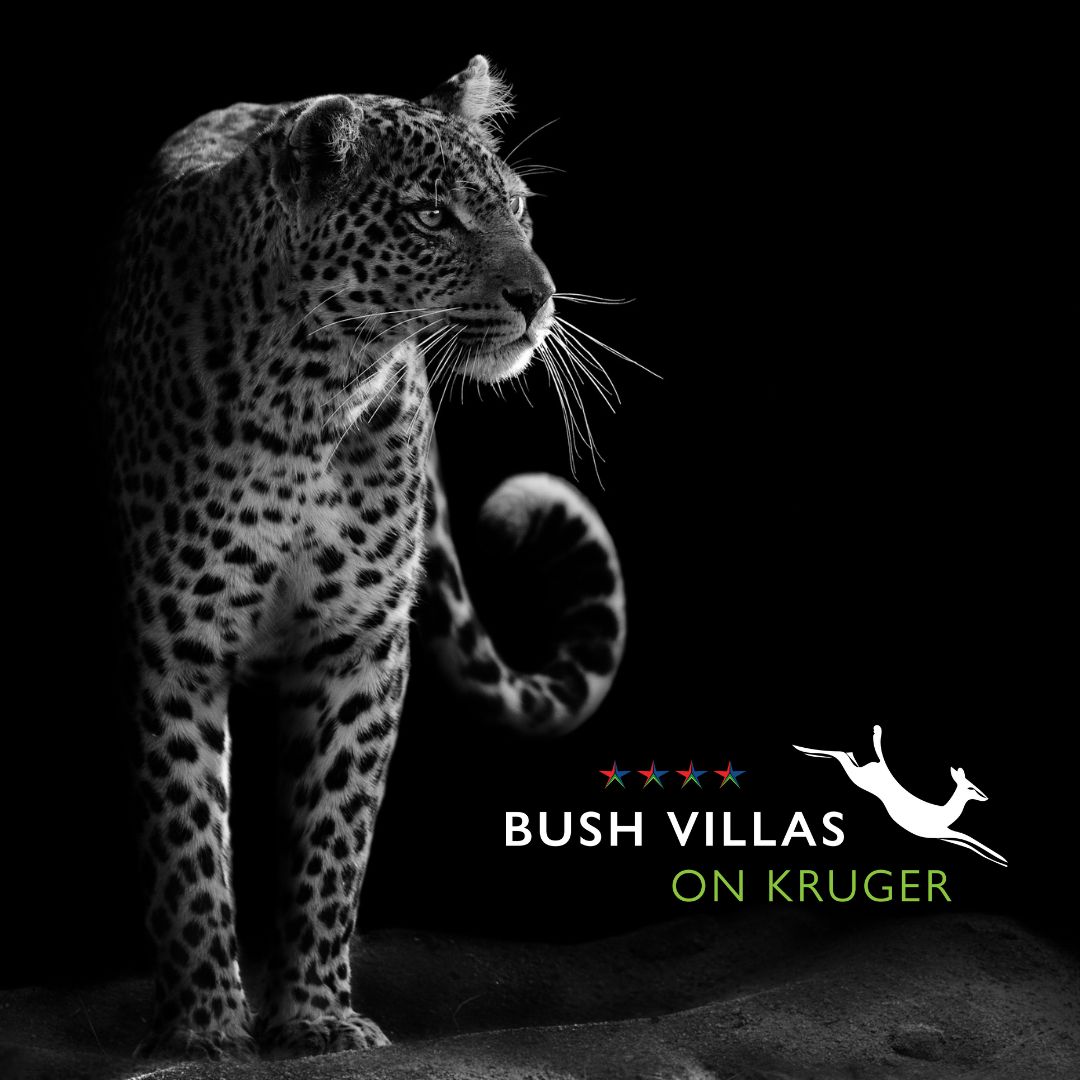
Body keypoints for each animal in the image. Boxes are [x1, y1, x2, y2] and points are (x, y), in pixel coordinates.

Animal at [102, 55, 626, 1060]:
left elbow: (332, 834)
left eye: (518, 208)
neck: (314, 390)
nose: (538, 297)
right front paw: (202, 1026)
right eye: (432, 217)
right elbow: (187, 834)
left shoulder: (359, 642)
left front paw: (314, 1013)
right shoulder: (175, 638)